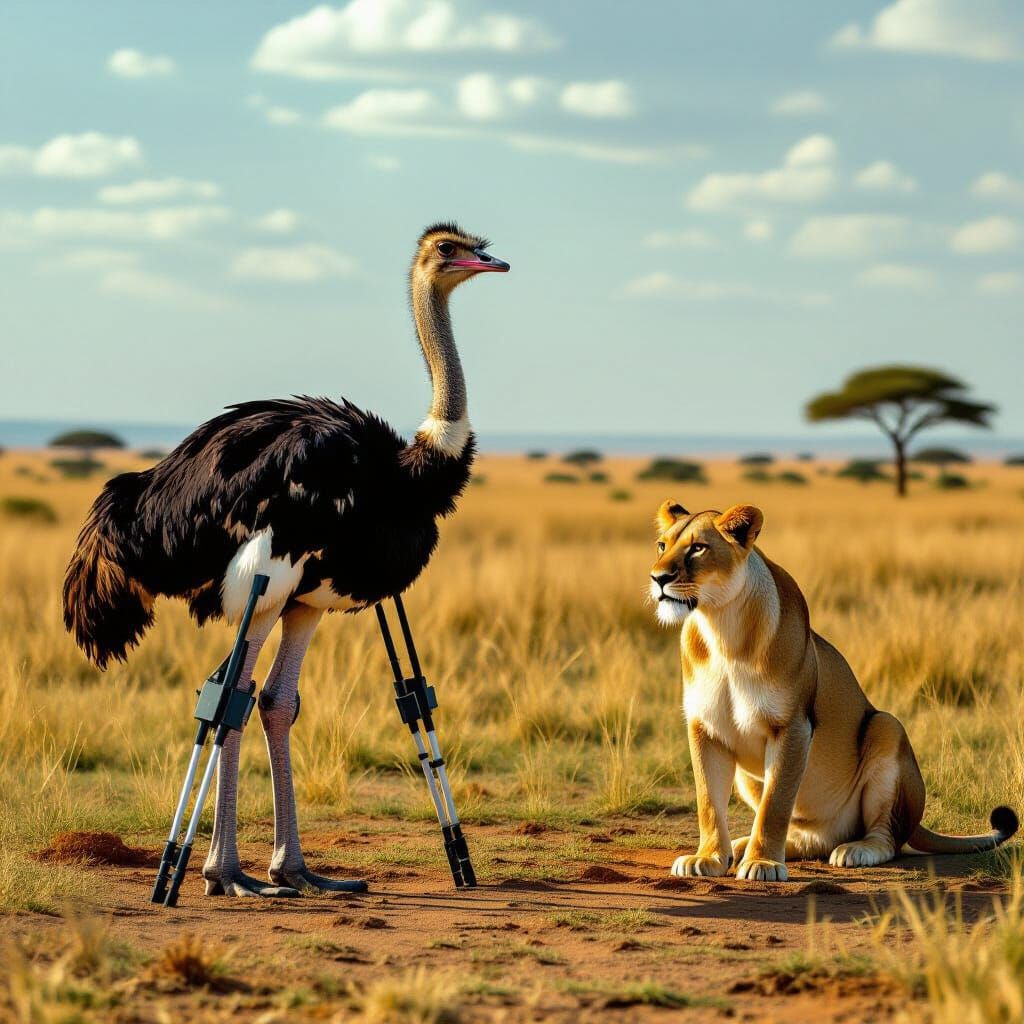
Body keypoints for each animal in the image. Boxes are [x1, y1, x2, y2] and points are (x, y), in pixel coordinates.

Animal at [649, 500, 1018, 881]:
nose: (658, 578)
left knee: (887, 837)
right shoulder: (704, 728)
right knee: (808, 837)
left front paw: (762, 863)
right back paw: (743, 844)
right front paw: (706, 858)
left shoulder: (793, 725)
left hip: (887, 726)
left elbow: (775, 804)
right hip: (750, 779)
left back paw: (855, 850)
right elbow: (708, 801)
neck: (721, 627)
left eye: (697, 547)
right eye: (662, 546)